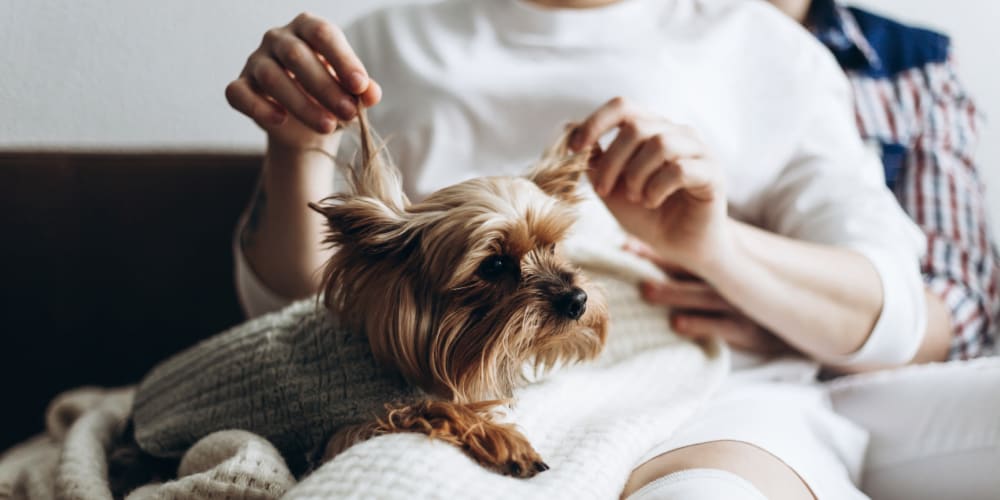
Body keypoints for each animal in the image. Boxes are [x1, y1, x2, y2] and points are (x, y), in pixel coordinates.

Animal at [312, 111, 608, 478]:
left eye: (551, 247)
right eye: (495, 265)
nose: (577, 300)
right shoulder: (343, 429)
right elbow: (430, 407)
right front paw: (506, 441)